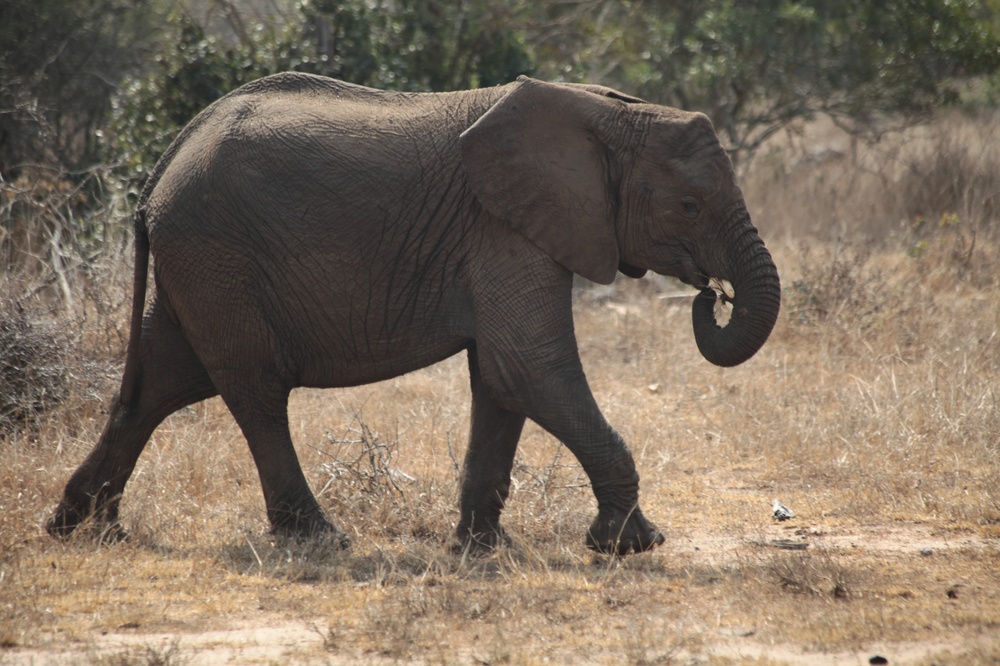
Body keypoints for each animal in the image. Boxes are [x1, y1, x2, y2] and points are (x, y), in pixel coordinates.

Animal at [47, 70, 780, 552]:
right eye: (689, 206)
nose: (711, 292)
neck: (605, 112)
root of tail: (157, 174)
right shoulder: (503, 228)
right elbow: (530, 367)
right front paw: (631, 544)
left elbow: (501, 379)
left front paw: (482, 548)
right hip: (216, 258)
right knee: (255, 391)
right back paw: (322, 540)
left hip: (197, 266)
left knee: (157, 386)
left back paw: (81, 529)